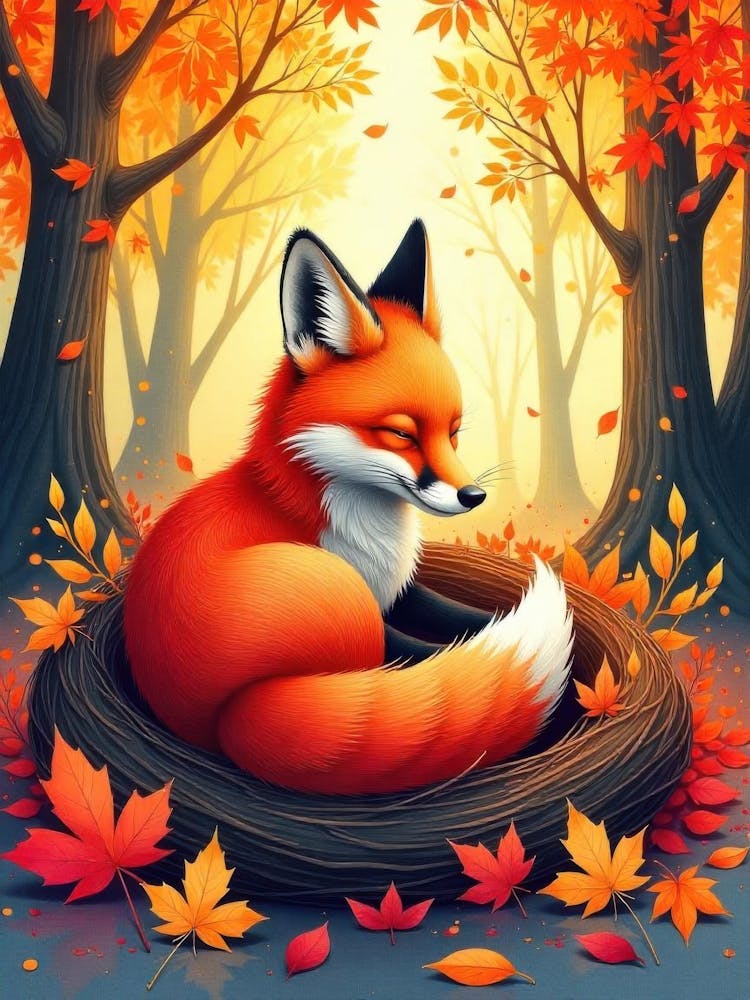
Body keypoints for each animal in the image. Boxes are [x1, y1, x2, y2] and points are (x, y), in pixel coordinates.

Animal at [124, 220, 573, 796]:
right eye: (402, 434)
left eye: (453, 431)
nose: (473, 496)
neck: (364, 537)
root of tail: (228, 721)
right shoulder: (376, 613)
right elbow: (432, 649)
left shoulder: (398, 589)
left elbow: (468, 618)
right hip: (344, 611)